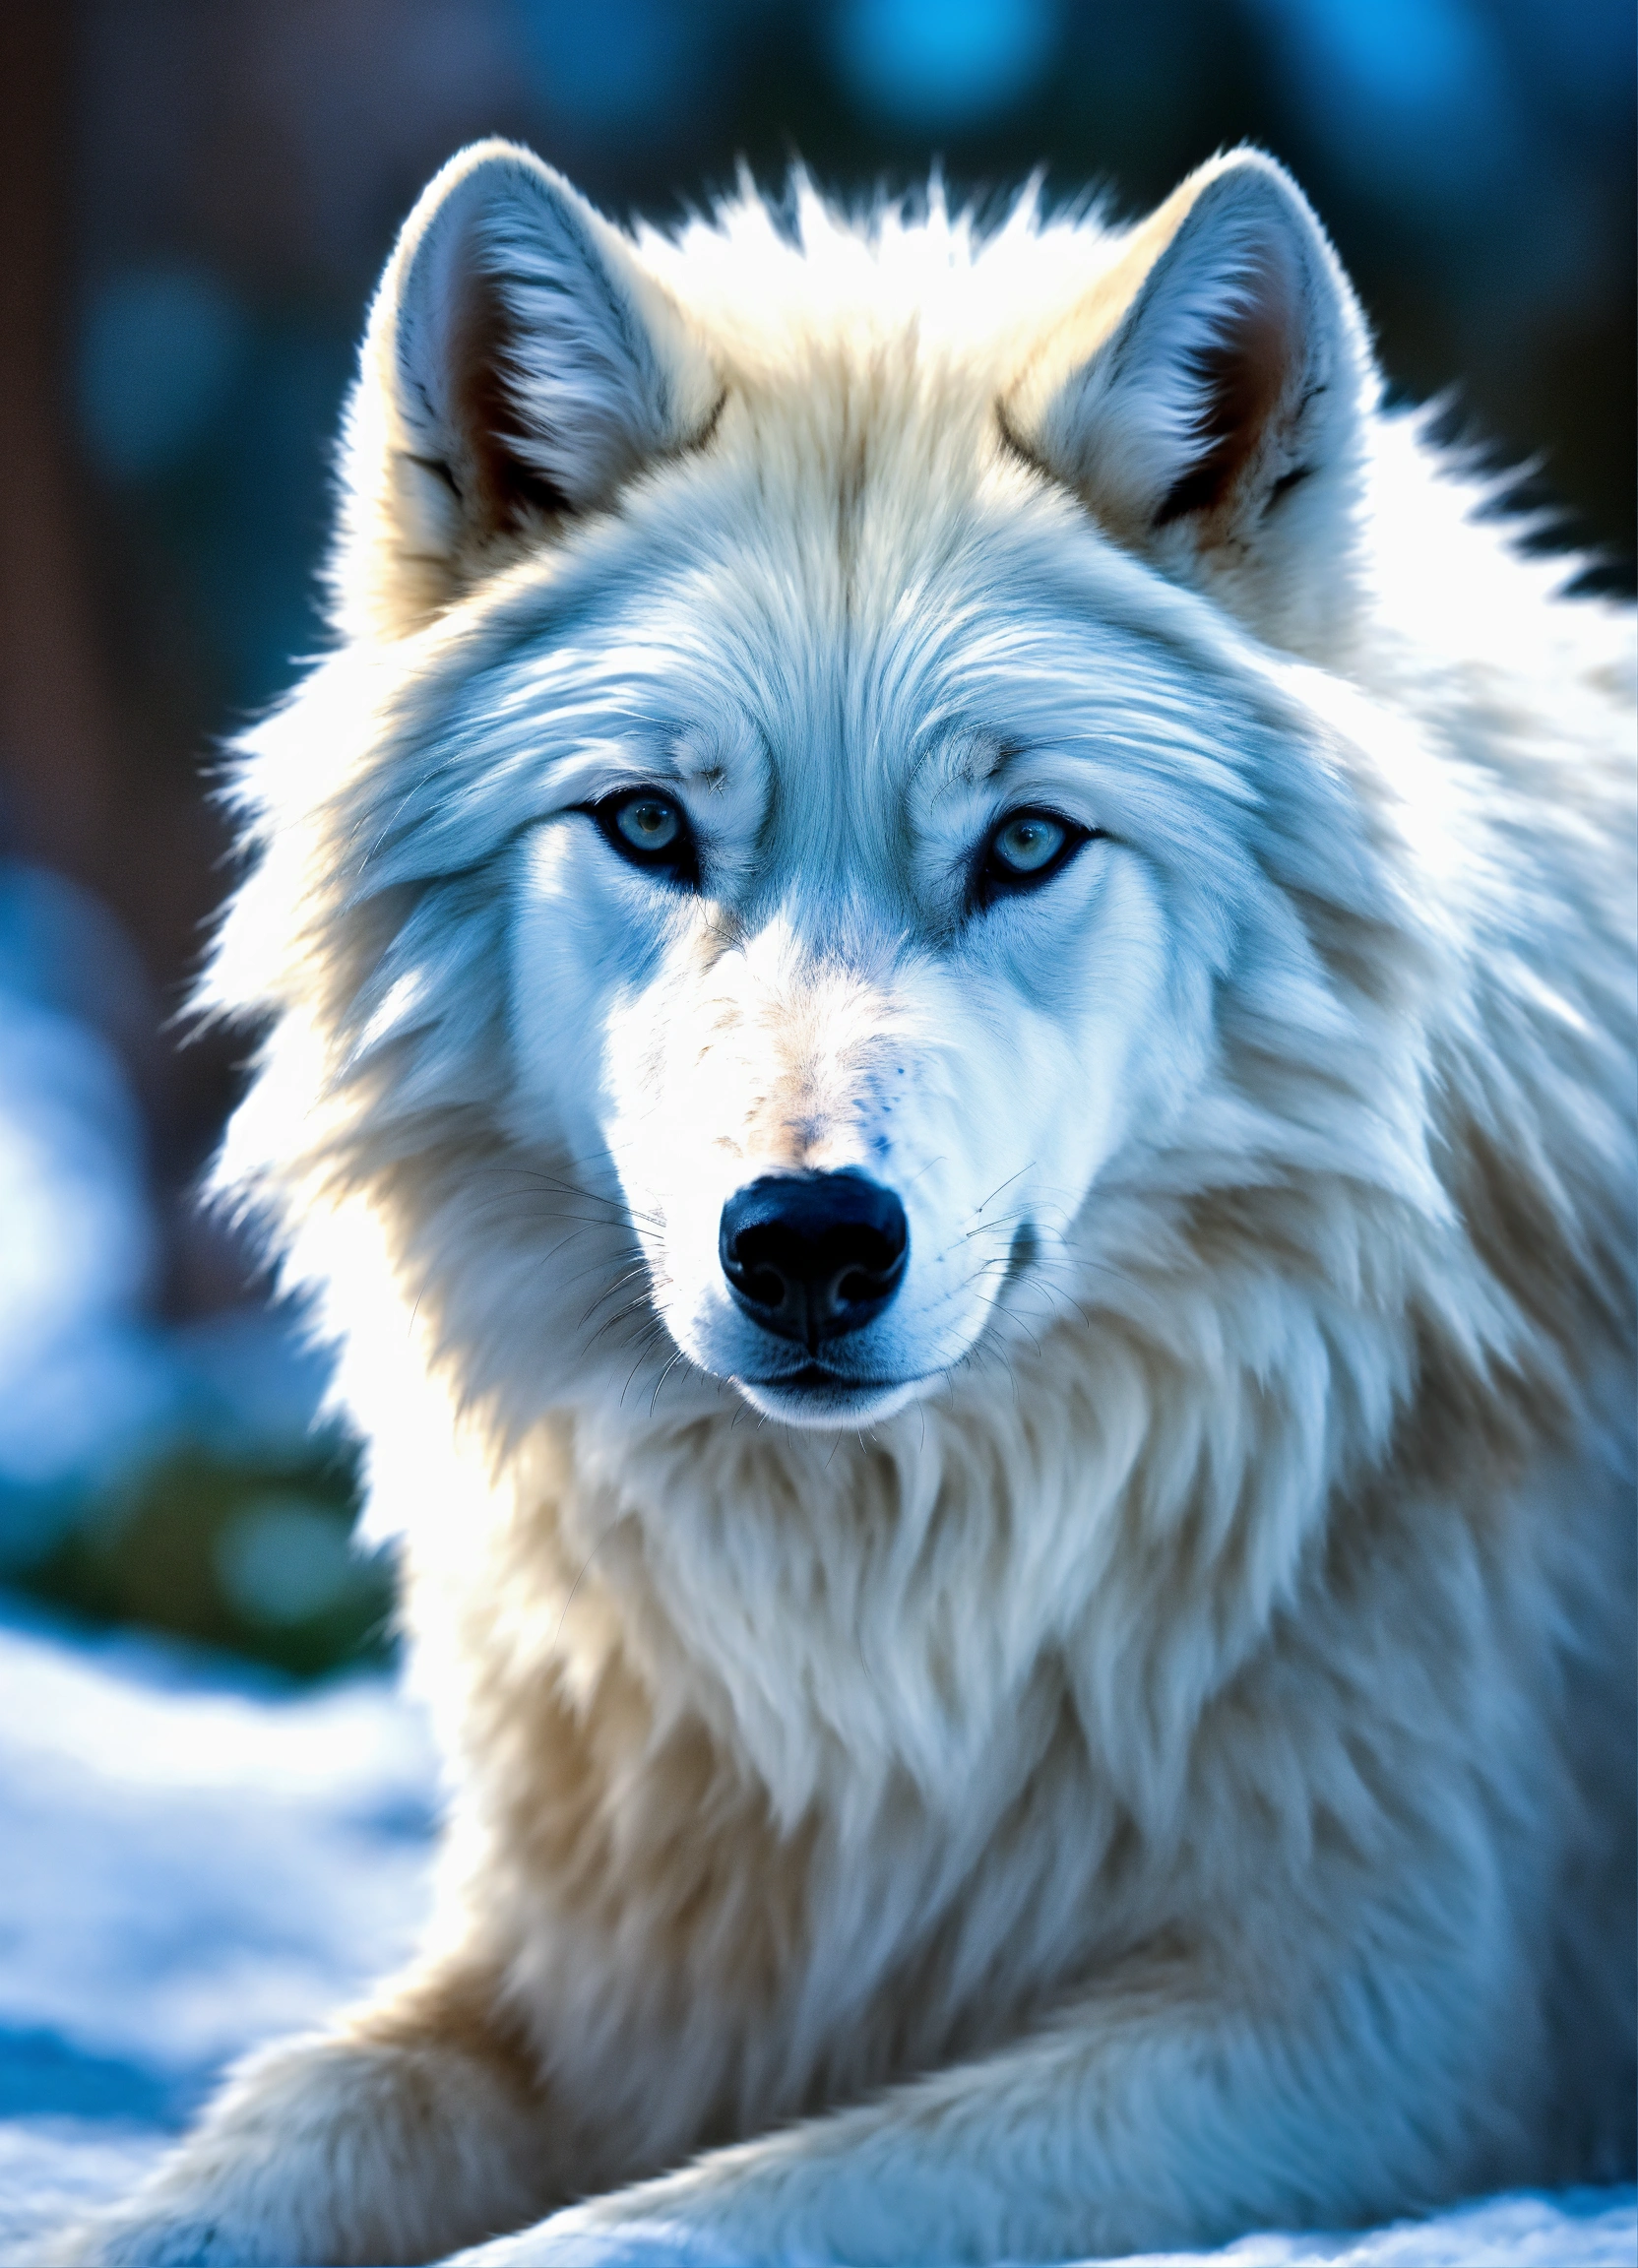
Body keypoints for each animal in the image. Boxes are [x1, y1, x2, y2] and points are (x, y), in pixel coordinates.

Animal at [53, 139, 1634, 2267]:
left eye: (1025, 842)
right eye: (648, 822)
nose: (806, 1237)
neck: (893, 1636)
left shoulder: (1366, 2029)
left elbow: (683, 2219)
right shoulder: (596, 1967)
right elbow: (282, 2118)